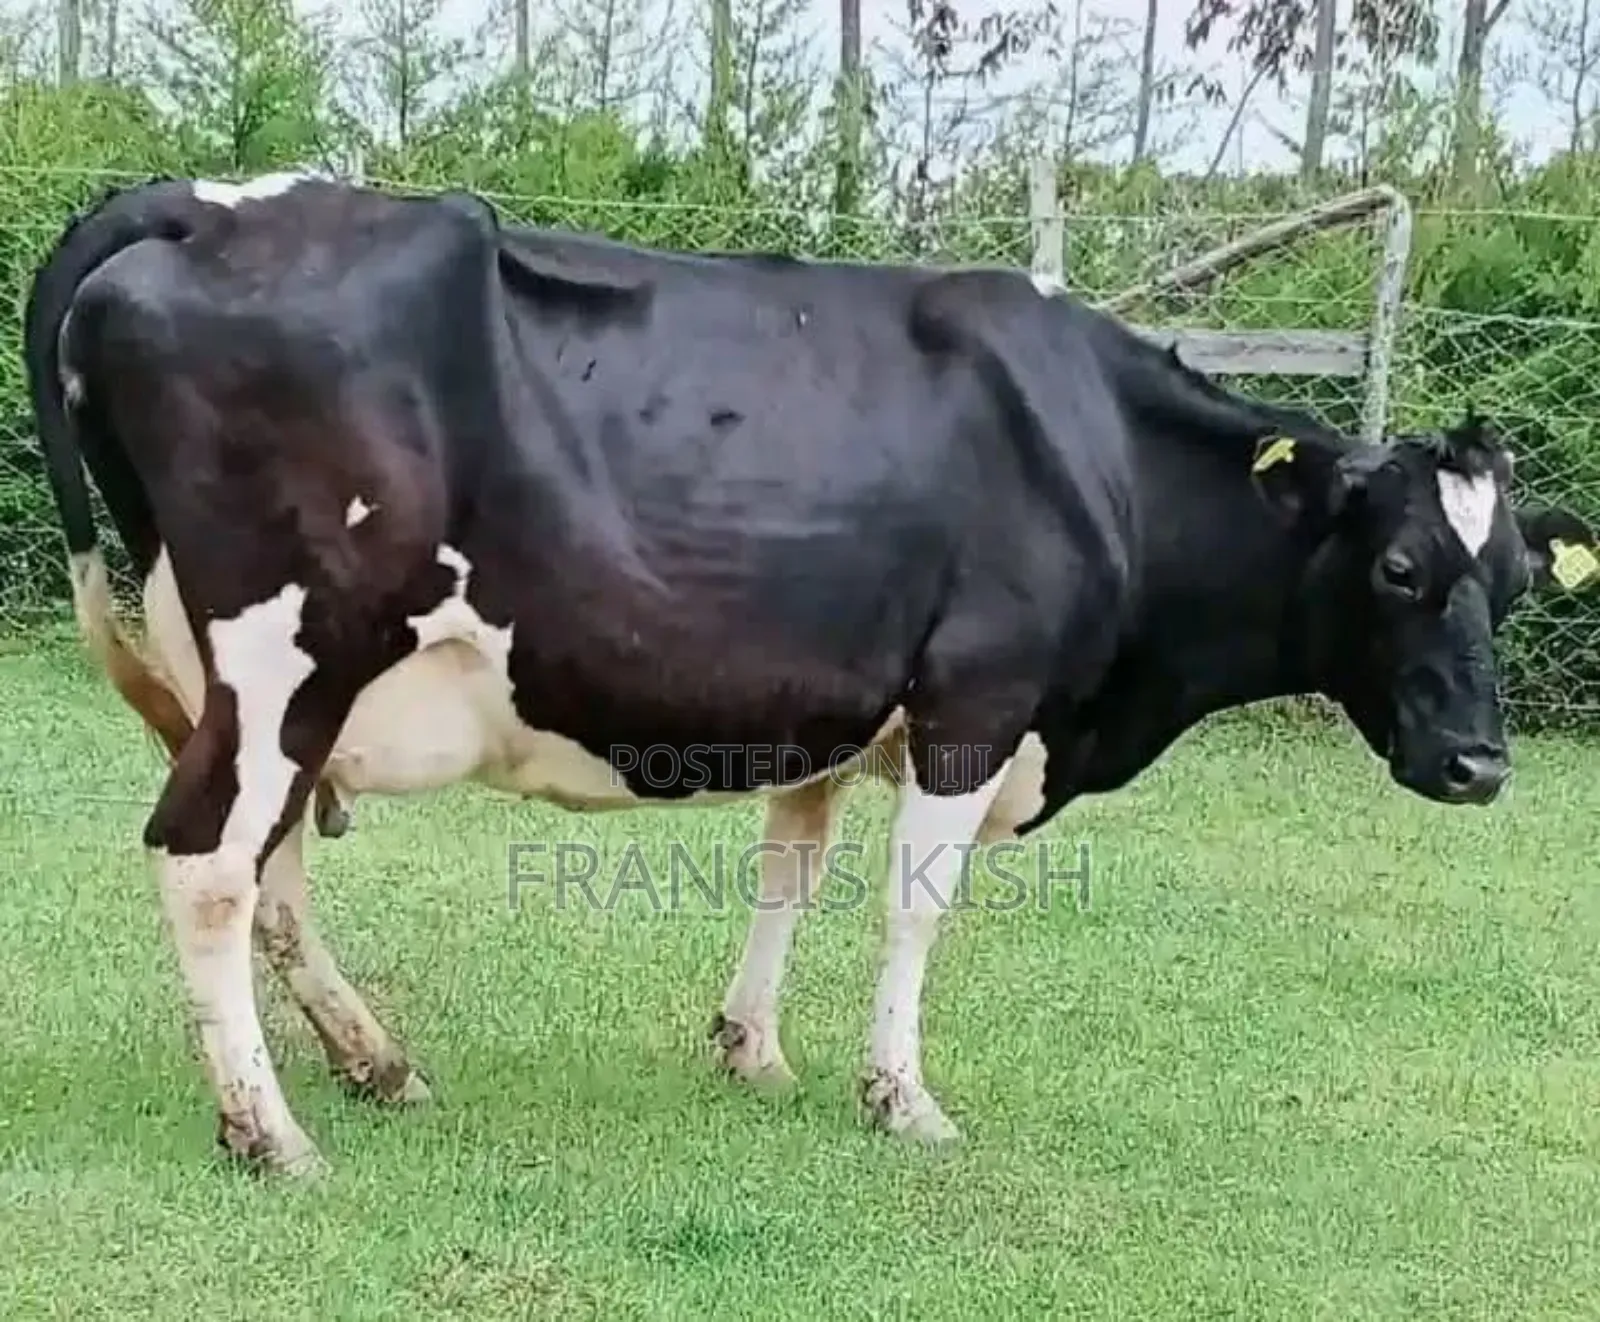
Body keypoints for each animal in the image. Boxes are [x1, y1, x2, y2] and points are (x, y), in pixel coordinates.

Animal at [21, 171, 1600, 1179]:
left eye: (1516, 578)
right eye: (1399, 567)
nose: (1480, 765)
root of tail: (196, 199)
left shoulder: (840, 703)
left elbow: (789, 862)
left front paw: (752, 1046)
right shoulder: (975, 701)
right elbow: (917, 907)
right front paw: (898, 1093)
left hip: (266, 683)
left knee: (269, 867)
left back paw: (373, 1061)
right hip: (285, 648)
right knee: (206, 861)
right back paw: (270, 1130)